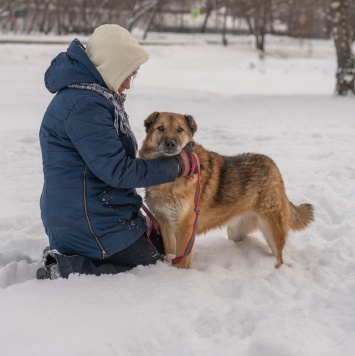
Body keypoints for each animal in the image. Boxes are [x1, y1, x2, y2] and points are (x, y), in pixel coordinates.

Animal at [139, 112, 314, 268]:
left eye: (180, 129)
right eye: (160, 128)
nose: (170, 143)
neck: (172, 173)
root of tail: (273, 166)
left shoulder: (185, 230)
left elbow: (181, 262)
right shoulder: (165, 225)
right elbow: (170, 252)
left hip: (271, 231)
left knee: (279, 258)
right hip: (235, 232)